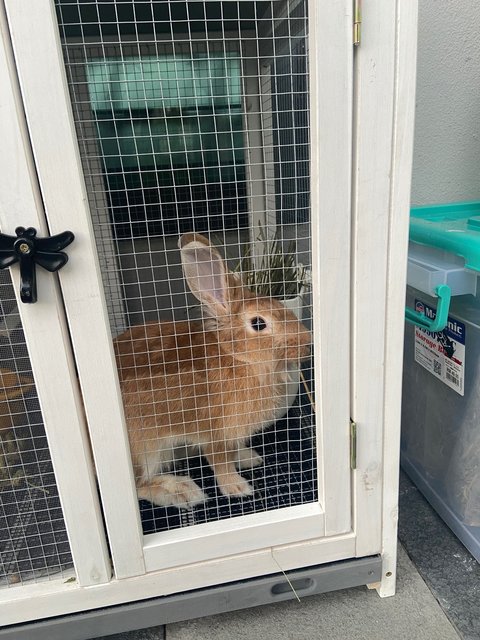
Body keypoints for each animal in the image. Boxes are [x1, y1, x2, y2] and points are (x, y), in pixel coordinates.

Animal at [114, 232, 314, 508]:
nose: (307, 342)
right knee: (138, 484)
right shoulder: (215, 433)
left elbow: (234, 451)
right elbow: (220, 462)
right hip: (145, 448)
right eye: (258, 323)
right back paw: (181, 491)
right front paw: (237, 487)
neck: (237, 358)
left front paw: (249, 458)